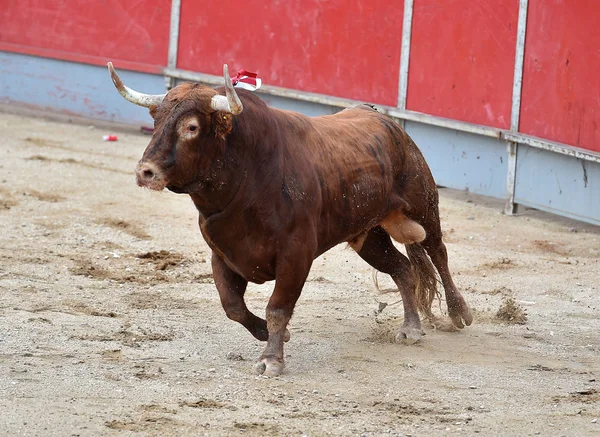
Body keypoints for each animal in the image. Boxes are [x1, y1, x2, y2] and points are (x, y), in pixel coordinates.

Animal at [108, 61, 474, 374]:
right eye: (156, 120)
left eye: (192, 127)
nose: (145, 171)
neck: (248, 179)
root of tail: (387, 122)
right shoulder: (222, 254)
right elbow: (233, 306)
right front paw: (273, 337)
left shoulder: (296, 255)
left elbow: (277, 307)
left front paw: (271, 360)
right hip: (368, 235)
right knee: (404, 269)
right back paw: (411, 328)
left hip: (423, 207)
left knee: (438, 251)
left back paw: (460, 312)